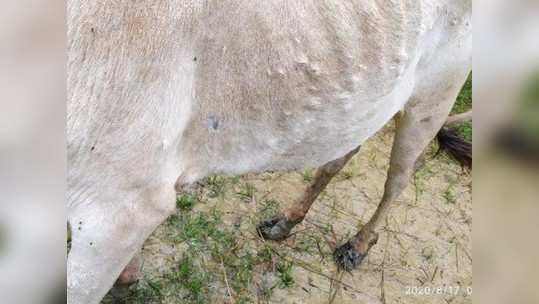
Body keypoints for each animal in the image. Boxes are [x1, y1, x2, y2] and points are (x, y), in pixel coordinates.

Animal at [68, 1, 472, 302]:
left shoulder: (121, 211)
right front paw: (129, 275)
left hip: (434, 97)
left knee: (398, 181)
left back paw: (358, 244)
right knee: (342, 153)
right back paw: (286, 220)